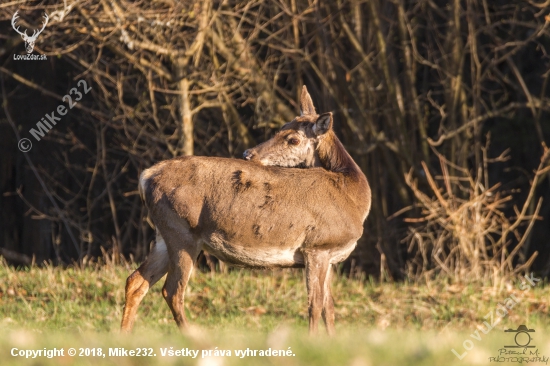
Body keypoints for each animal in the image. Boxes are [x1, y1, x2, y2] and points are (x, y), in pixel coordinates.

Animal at [122, 86, 374, 334]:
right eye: (280, 128)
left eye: (292, 138)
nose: (249, 154)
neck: (354, 198)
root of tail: (146, 177)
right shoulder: (317, 246)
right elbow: (315, 305)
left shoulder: (328, 256)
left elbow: (328, 308)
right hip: (182, 231)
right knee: (173, 290)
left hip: (165, 234)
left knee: (136, 281)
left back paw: (124, 334)